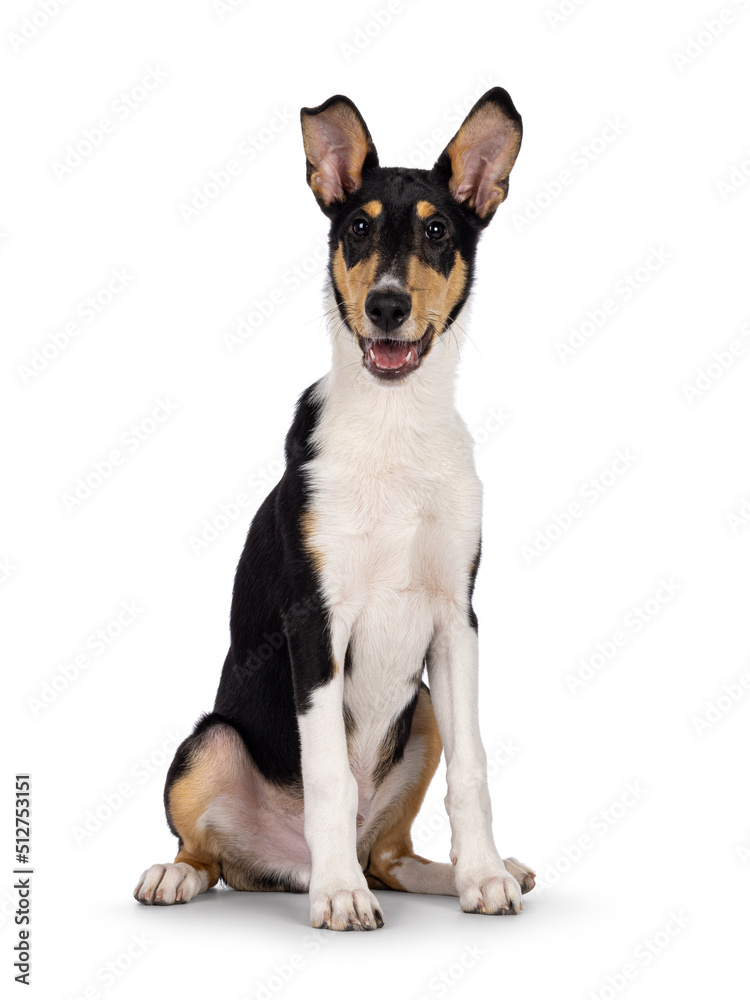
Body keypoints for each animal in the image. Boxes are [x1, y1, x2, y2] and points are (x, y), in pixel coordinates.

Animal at [135, 86, 536, 928]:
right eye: (356, 228)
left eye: (439, 230)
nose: (386, 306)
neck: (394, 427)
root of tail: (283, 867)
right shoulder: (315, 619)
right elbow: (327, 771)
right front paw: (341, 900)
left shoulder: (457, 619)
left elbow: (475, 768)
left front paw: (484, 876)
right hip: (209, 741)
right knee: (208, 849)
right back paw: (189, 877)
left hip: (423, 710)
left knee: (391, 855)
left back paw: (465, 874)